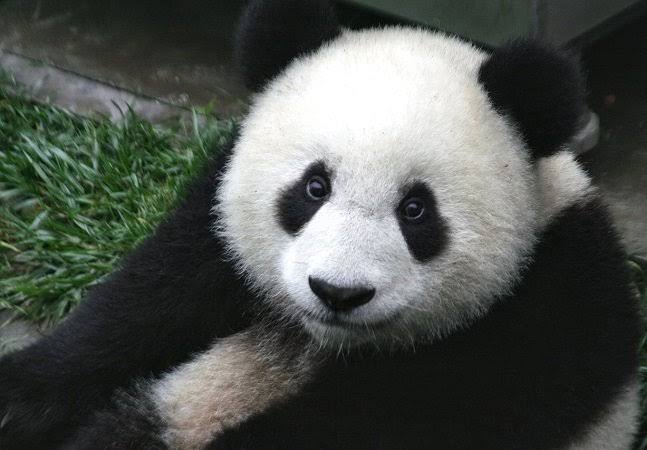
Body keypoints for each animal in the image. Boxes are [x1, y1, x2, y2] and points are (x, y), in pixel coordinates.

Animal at [0, 0, 641, 448]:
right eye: (314, 188)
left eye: (416, 210)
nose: (338, 292)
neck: (325, 341)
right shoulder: (214, 231)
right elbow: (138, 308)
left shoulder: (542, 322)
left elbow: (377, 423)